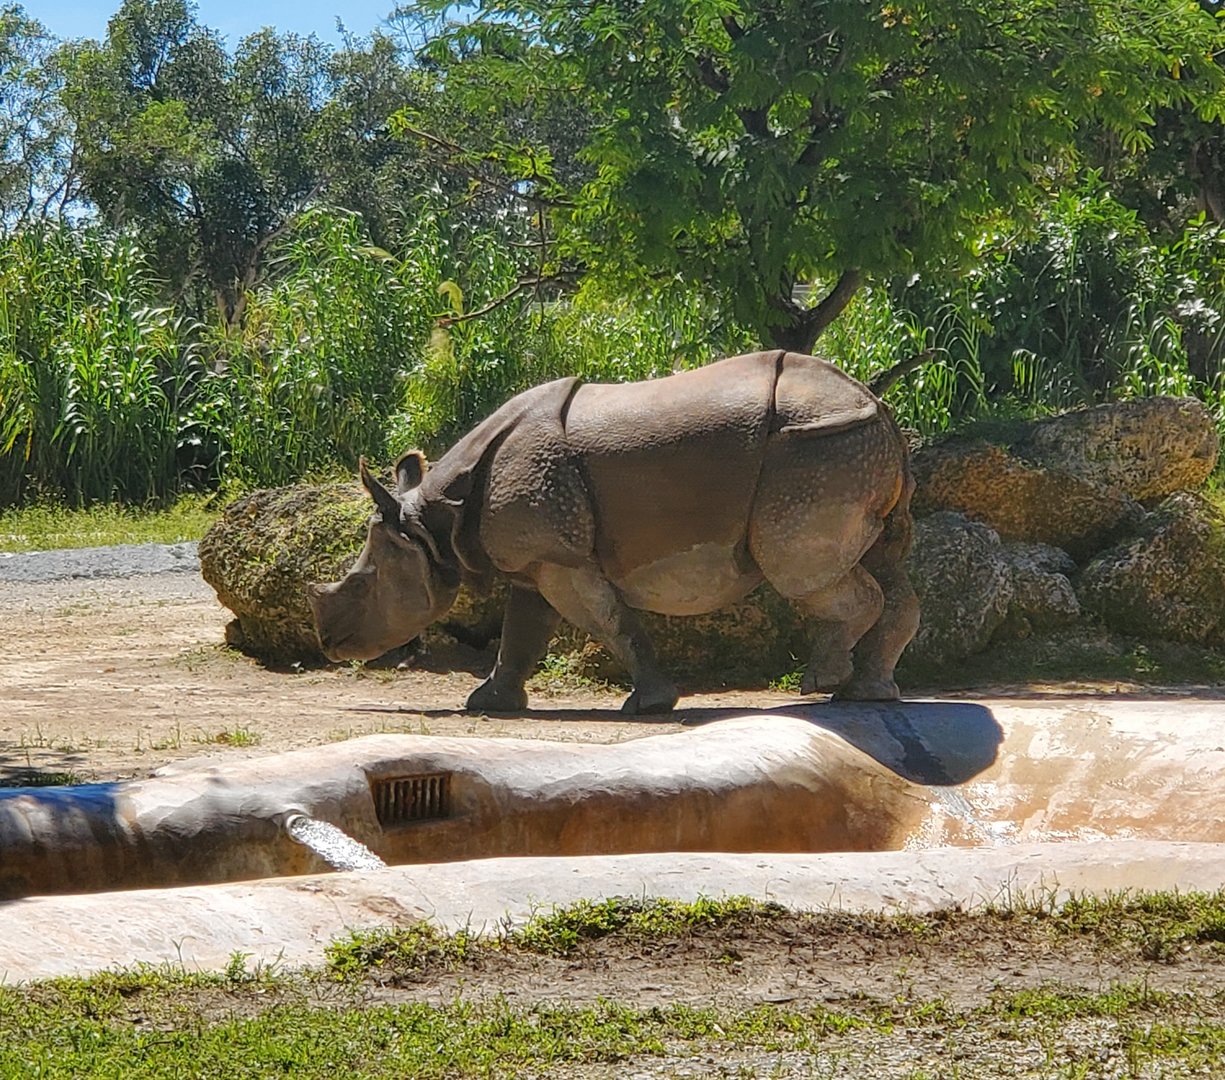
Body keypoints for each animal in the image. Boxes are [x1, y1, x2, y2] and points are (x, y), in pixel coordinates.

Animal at [308, 350, 919, 714]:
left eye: (361, 584)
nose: (329, 644)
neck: (436, 521)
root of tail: (880, 405)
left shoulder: (559, 558)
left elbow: (608, 622)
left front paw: (649, 705)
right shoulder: (536, 561)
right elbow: (520, 634)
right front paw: (486, 703)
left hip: (816, 447)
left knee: (800, 572)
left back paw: (820, 686)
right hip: (847, 448)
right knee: (881, 567)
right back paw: (867, 695)